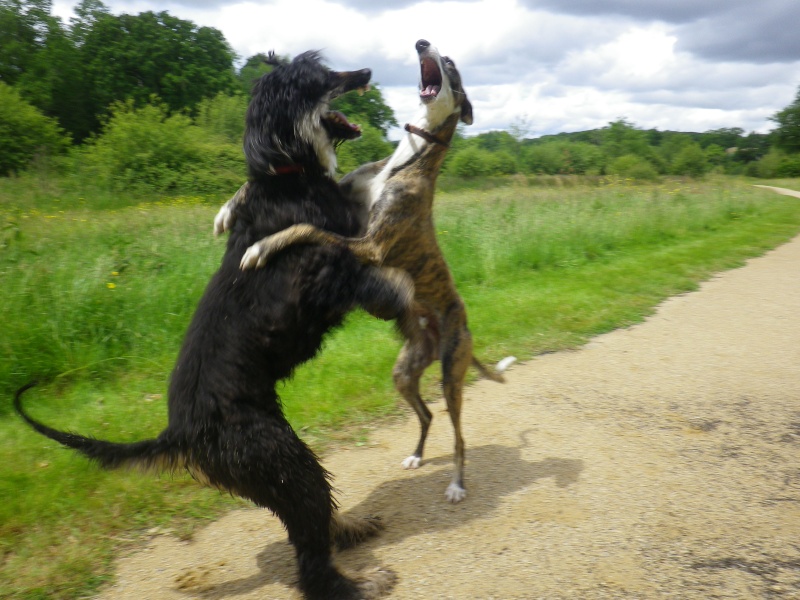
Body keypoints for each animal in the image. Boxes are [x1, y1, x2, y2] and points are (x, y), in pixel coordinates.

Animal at [15, 51, 416, 600]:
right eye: (319, 78)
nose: (366, 73)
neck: (287, 174)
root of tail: (179, 434)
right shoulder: (331, 263)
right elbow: (372, 267)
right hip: (279, 461)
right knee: (311, 561)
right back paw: (359, 582)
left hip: (280, 465)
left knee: (315, 526)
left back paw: (350, 529)